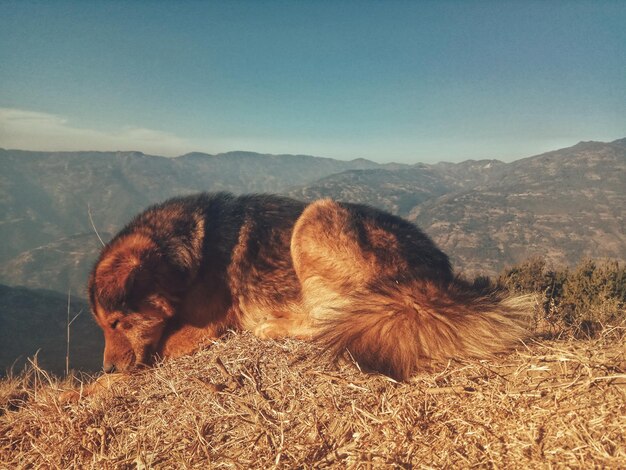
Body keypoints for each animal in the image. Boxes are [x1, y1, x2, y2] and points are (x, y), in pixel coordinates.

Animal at [88, 193, 528, 380]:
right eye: (102, 327)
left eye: (117, 323)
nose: (106, 367)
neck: (182, 255)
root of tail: (429, 282)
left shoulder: (201, 329)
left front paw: (97, 387)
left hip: (316, 218)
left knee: (331, 321)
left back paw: (272, 326)